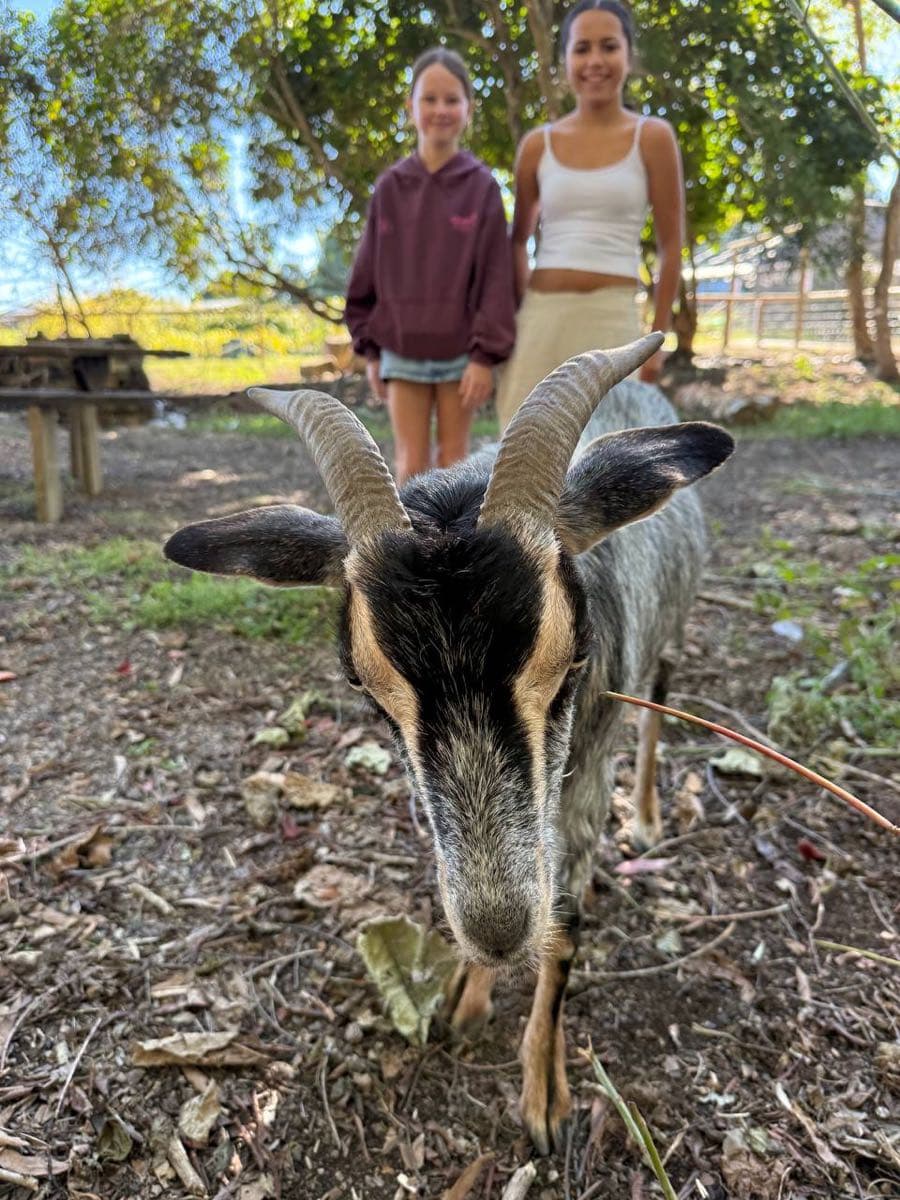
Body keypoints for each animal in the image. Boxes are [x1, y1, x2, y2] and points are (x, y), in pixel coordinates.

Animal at [164, 333, 734, 1153]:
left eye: (576, 653)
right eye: (362, 682)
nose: (497, 932)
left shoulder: (585, 775)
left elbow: (564, 921)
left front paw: (543, 1095)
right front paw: (469, 996)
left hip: (669, 641)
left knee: (660, 705)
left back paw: (651, 815)